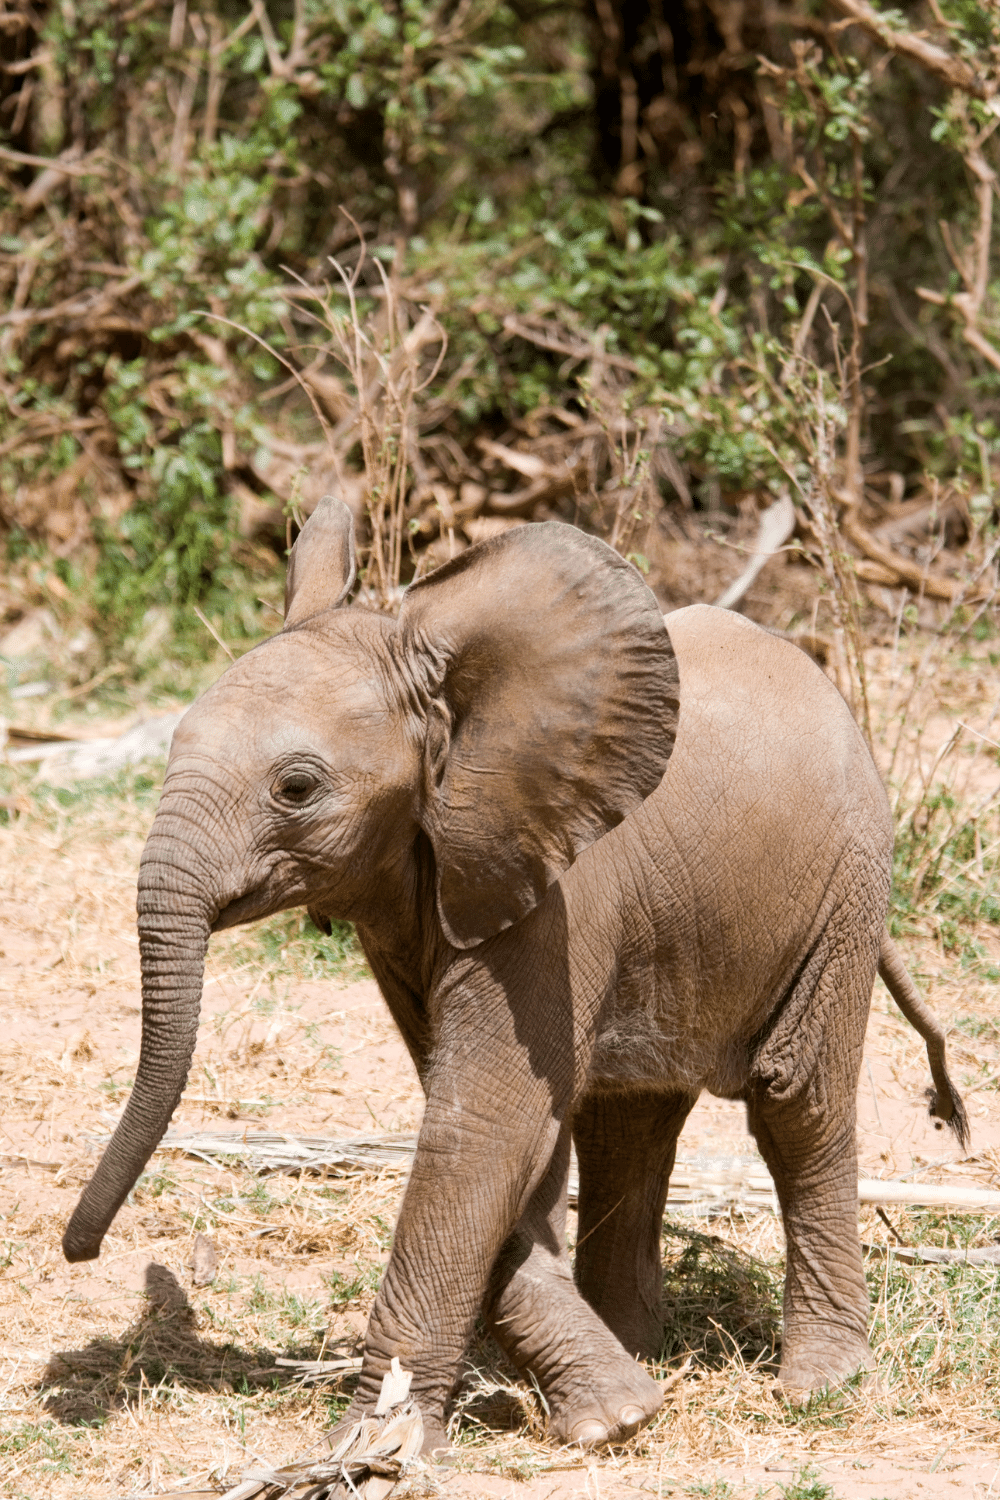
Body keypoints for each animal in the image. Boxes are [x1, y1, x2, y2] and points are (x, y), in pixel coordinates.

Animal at [64, 504, 971, 1452]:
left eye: (297, 788)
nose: (80, 1250)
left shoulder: (558, 894)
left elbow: (484, 1122)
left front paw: (375, 1447)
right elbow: (503, 1134)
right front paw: (615, 1411)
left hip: (849, 879)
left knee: (797, 1099)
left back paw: (821, 1382)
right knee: (628, 1123)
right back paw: (638, 1343)